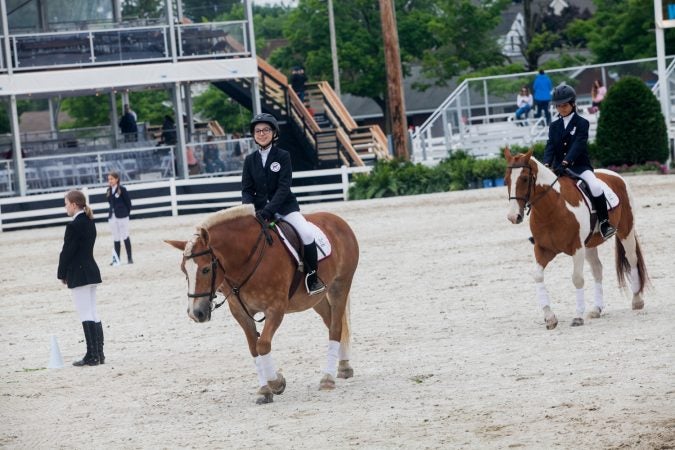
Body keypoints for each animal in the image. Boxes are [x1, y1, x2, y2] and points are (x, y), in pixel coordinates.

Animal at [165, 204, 360, 404]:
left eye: (205, 269)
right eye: (184, 271)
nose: (196, 313)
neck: (244, 261)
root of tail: (337, 220)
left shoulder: (275, 308)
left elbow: (263, 344)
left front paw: (276, 383)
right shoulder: (240, 312)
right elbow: (254, 349)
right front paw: (264, 390)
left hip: (340, 285)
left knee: (336, 328)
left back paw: (328, 378)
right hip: (315, 299)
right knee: (332, 323)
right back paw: (343, 366)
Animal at [504, 149, 648, 328]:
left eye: (524, 178)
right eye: (506, 180)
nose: (513, 217)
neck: (552, 207)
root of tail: (615, 175)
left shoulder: (577, 248)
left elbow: (577, 279)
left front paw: (578, 316)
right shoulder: (543, 249)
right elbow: (537, 275)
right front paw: (550, 317)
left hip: (625, 232)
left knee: (632, 259)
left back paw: (637, 301)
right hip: (590, 244)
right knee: (597, 269)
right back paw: (596, 309)